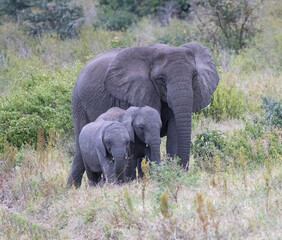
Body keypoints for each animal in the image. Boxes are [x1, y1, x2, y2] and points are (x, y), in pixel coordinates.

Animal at [67, 41, 219, 188]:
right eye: (161, 79)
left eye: (194, 76)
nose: (181, 171)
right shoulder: (129, 94)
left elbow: (174, 133)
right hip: (78, 103)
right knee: (80, 149)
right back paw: (72, 189)